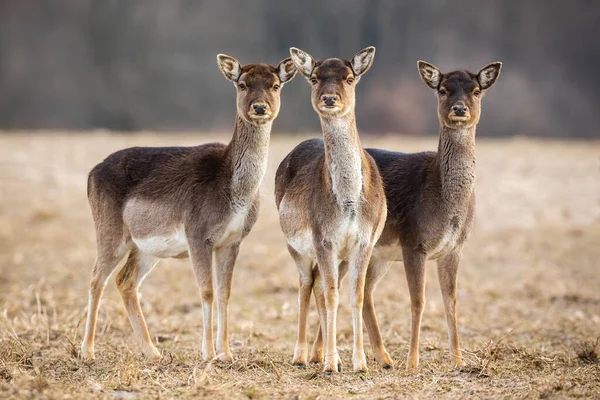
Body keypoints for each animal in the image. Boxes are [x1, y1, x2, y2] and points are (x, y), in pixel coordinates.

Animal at [79, 51, 296, 360]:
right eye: (242, 84)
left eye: (276, 85)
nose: (259, 107)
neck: (235, 194)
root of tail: (91, 174)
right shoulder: (197, 233)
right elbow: (206, 291)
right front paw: (207, 353)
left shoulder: (233, 240)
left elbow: (225, 292)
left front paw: (226, 354)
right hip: (110, 230)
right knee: (97, 278)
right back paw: (87, 350)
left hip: (146, 247)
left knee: (125, 280)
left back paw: (152, 351)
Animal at [274, 47, 386, 376]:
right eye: (314, 78)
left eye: (349, 78)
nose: (329, 98)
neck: (347, 203)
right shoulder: (324, 239)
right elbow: (332, 296)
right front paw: (331, 365)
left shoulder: (364, 242)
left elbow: (355, 296)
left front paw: (359, 363)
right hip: (295, 246)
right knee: (306, 286)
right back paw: (302, 356)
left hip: (340, 257)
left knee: (320, 288)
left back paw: (322, 355)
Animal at [310, 58, 502, 368]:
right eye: (443, 90)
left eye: (476, 91)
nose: (459, 109)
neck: (446, 204)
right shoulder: (414, 241)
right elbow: (418, 301)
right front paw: (413, 361)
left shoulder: (455, 247)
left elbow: (451, 301)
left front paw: (458, 360)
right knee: (331, 284)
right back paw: (324, 355)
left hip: (379, 253)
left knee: (363, 291)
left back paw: (380, 356)